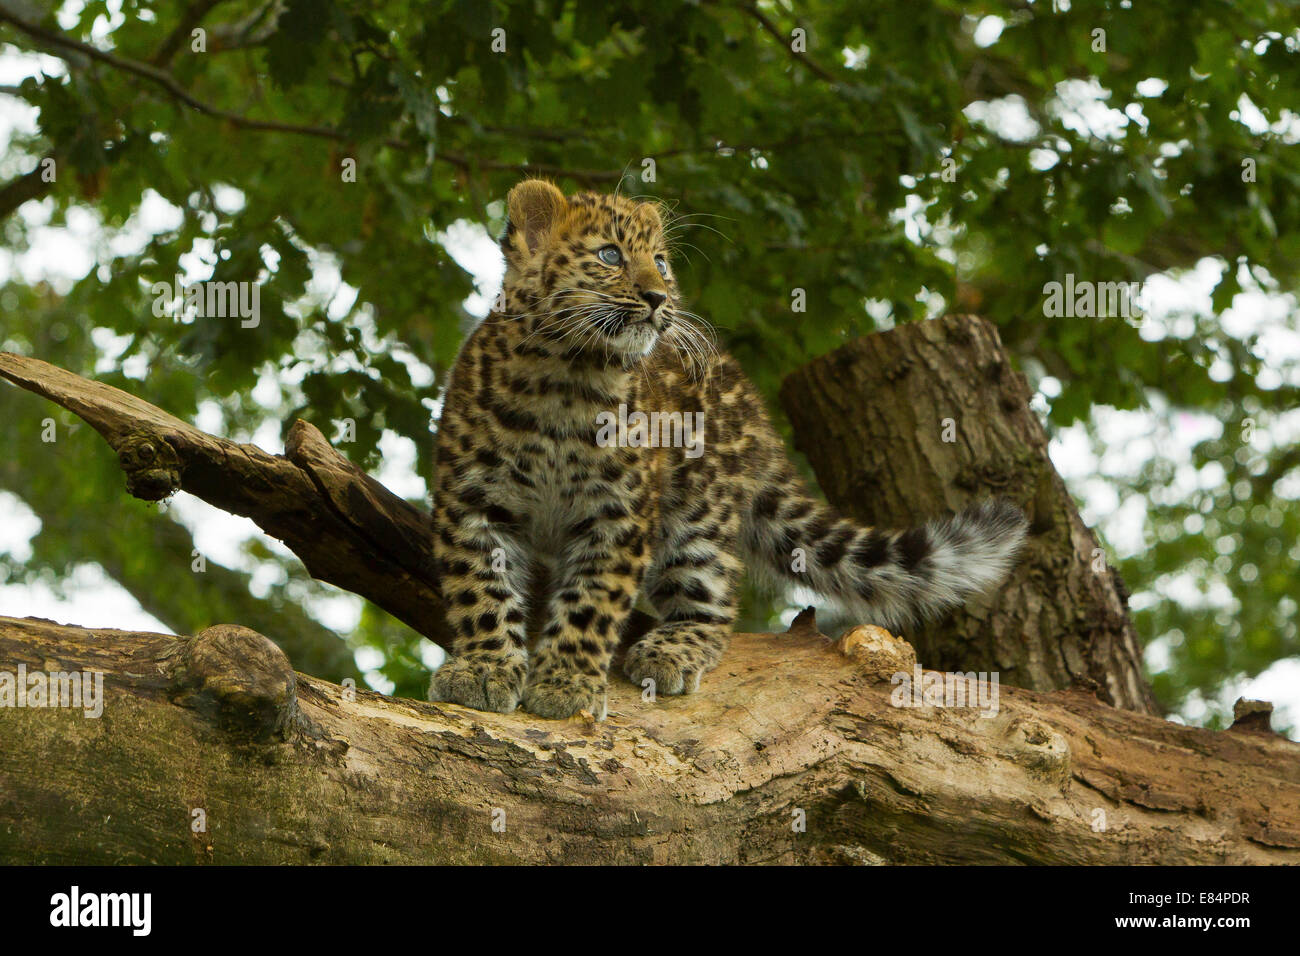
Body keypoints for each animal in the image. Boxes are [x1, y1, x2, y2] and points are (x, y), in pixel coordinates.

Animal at [427, 178, 1028, 720]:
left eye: (661, 262)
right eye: (609, 255)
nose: (659, 298)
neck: (566, 377)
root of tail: (756, 413)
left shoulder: (619, 515)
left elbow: (591, 604)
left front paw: (566, 683)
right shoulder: (473, 501)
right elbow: (481, 591)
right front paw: (482, 669)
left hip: (698, 507)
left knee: (713, 596)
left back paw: (671, 650)